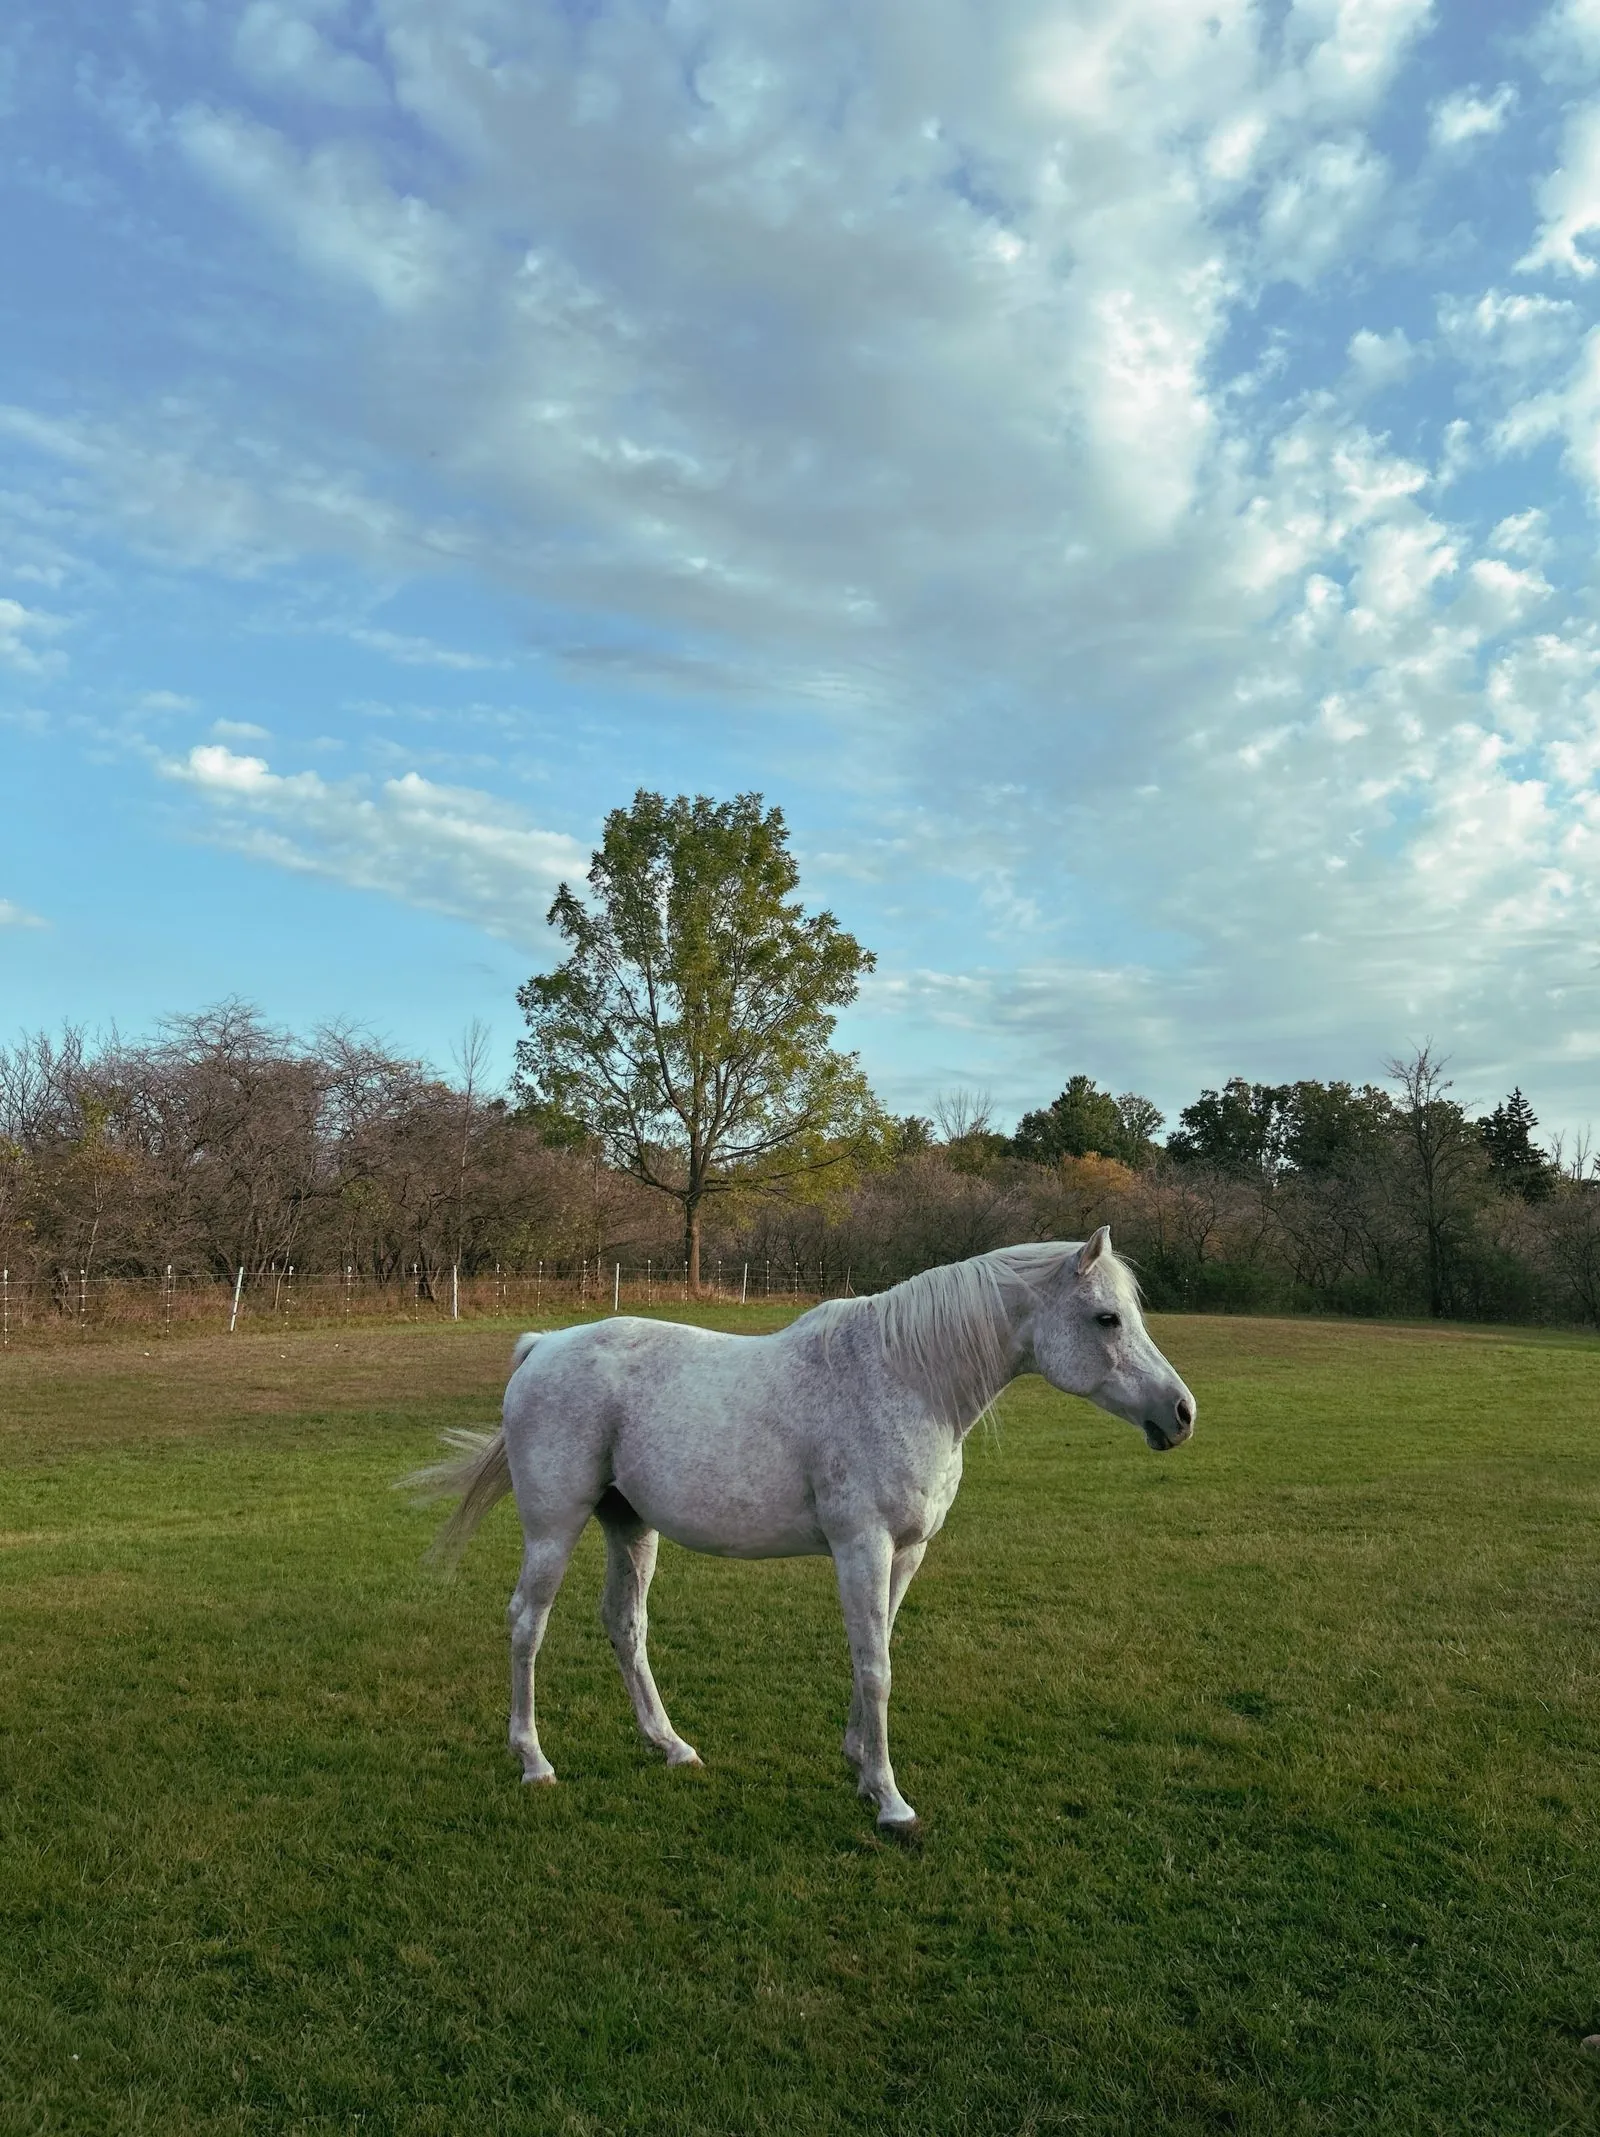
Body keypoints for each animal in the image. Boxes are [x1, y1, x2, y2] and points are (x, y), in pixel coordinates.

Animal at [403, 1226, 1195, 1834]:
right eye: (1106, 1318)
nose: (1182, 1413)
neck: (906, 1377)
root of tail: (542, 1346)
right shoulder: (862, 1547)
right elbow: (876, 1667)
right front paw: (892, 1804)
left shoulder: (905, 1553)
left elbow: (874, 1653)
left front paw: (861, 1766)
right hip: (554, 1526)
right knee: (526, 1623)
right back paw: (534, 1760)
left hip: (630, 1527)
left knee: (625, 1625)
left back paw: (672, 1746)